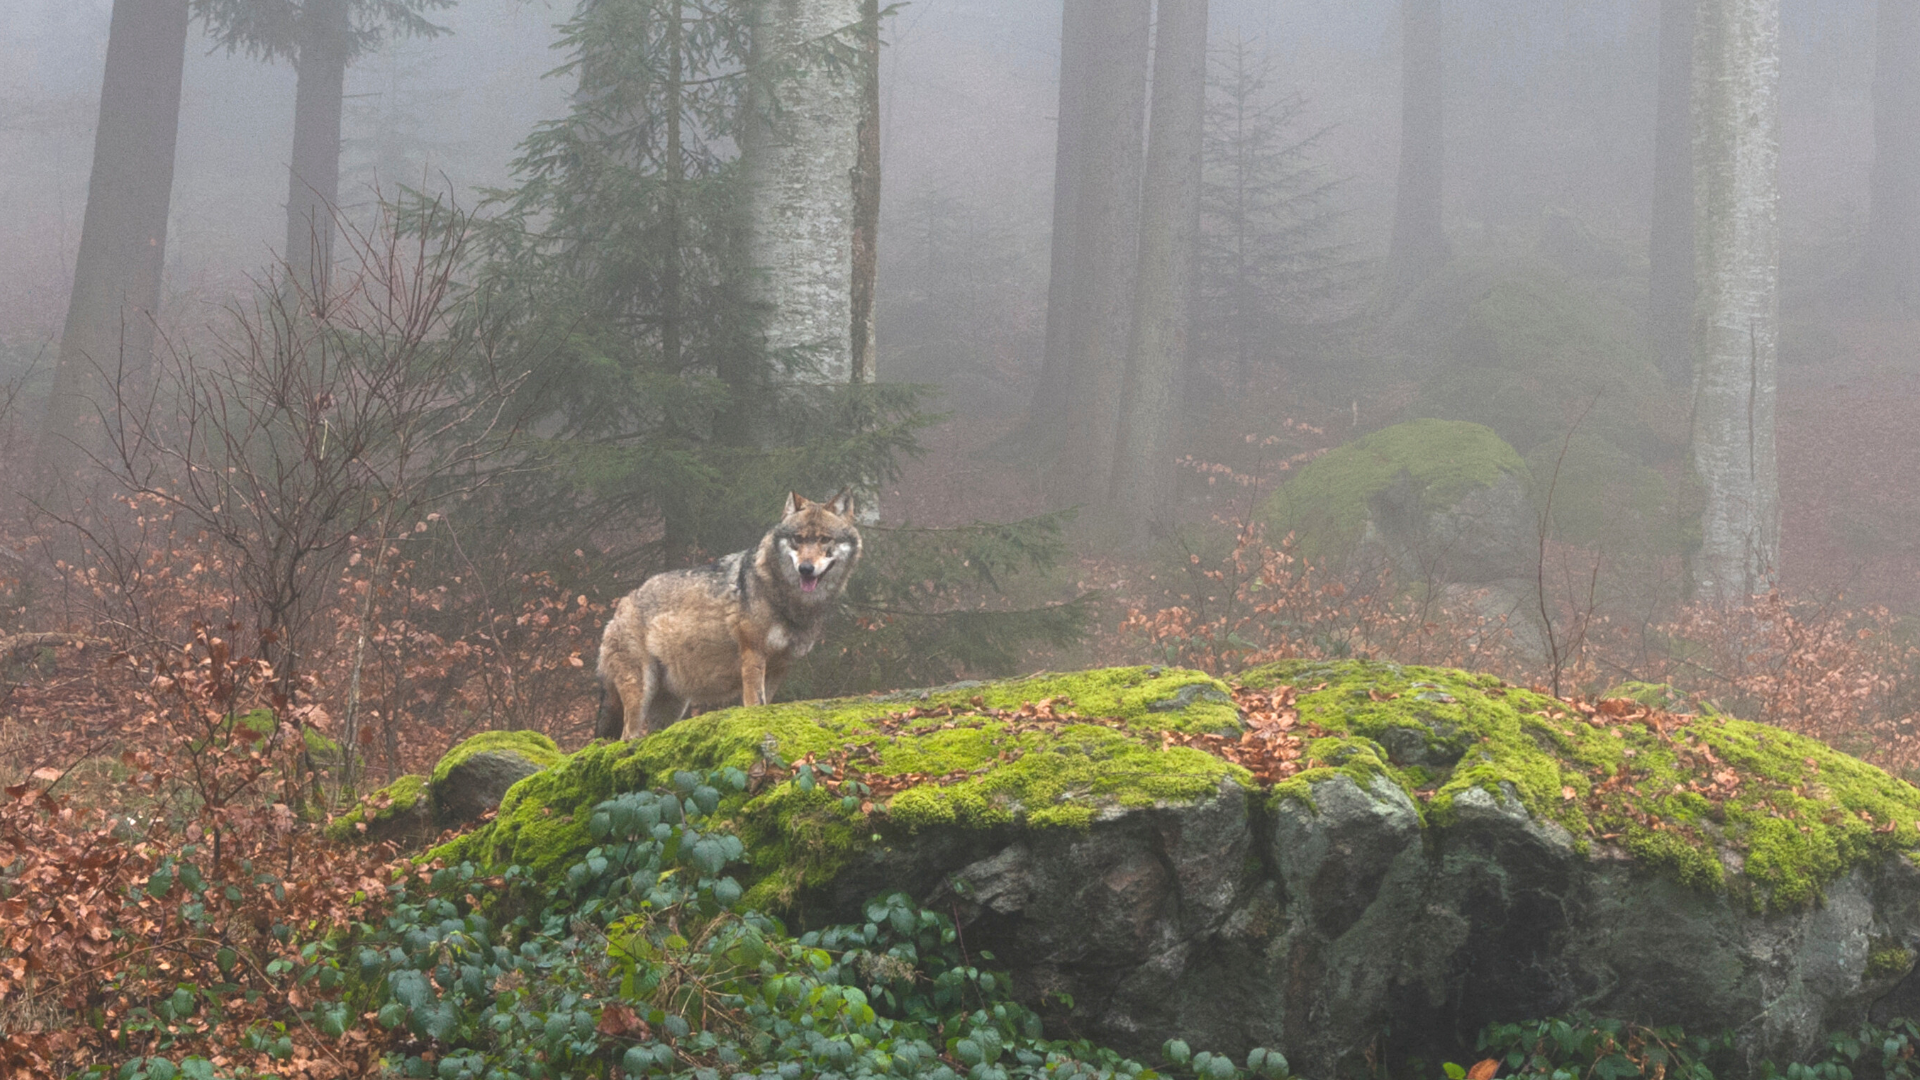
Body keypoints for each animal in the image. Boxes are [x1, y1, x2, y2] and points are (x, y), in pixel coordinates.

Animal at [594, 491, 863, 740]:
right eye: (798, 539)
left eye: (824, 539)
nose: (806, 569)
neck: (787, 599)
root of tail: (618, 610)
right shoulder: (753, 653)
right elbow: (755, 703)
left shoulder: (779, 667)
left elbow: (766, 704)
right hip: (642, 691)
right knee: (627, 736)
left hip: (674, 706)